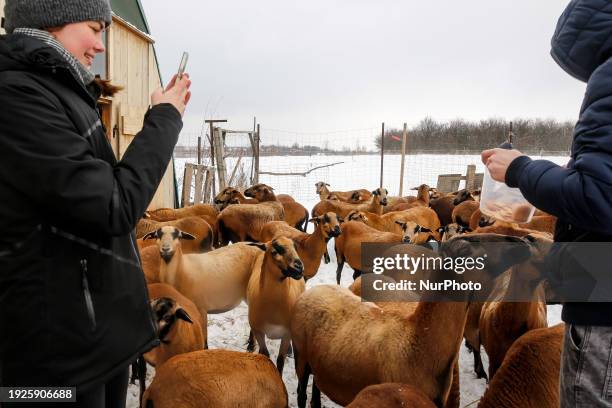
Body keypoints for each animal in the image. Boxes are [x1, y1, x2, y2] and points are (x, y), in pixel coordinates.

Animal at [246, 237, 306, 374]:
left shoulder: (286, 334)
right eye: (275, 251)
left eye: (295, 247)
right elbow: (265, 354)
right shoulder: (259, 331)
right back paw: (251, 345)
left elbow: (280, 360)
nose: (299, 267)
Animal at [290, 233, 532, 408]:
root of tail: (314, 290)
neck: (418, 340)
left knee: (316, 388)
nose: (524, 241)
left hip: (319, 362)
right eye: (473, 245)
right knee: (302, 392)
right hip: (301, 356)